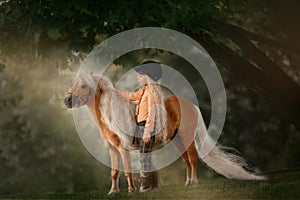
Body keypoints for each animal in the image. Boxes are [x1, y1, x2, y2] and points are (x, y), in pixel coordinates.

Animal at [65, 73, 264, 194]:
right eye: (73, 84)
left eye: (83, 86)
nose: (67, 101)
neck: (110, 116)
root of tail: (191, 105)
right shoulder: (112, 149)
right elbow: (114, 172)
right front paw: (113, 192)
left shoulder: (123, 148)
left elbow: (127, 171)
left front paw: (131, 191)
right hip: (178, 141)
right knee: (187, 161)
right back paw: (187, 183)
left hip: (187, 139)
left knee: (193, 159)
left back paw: (194, 183)